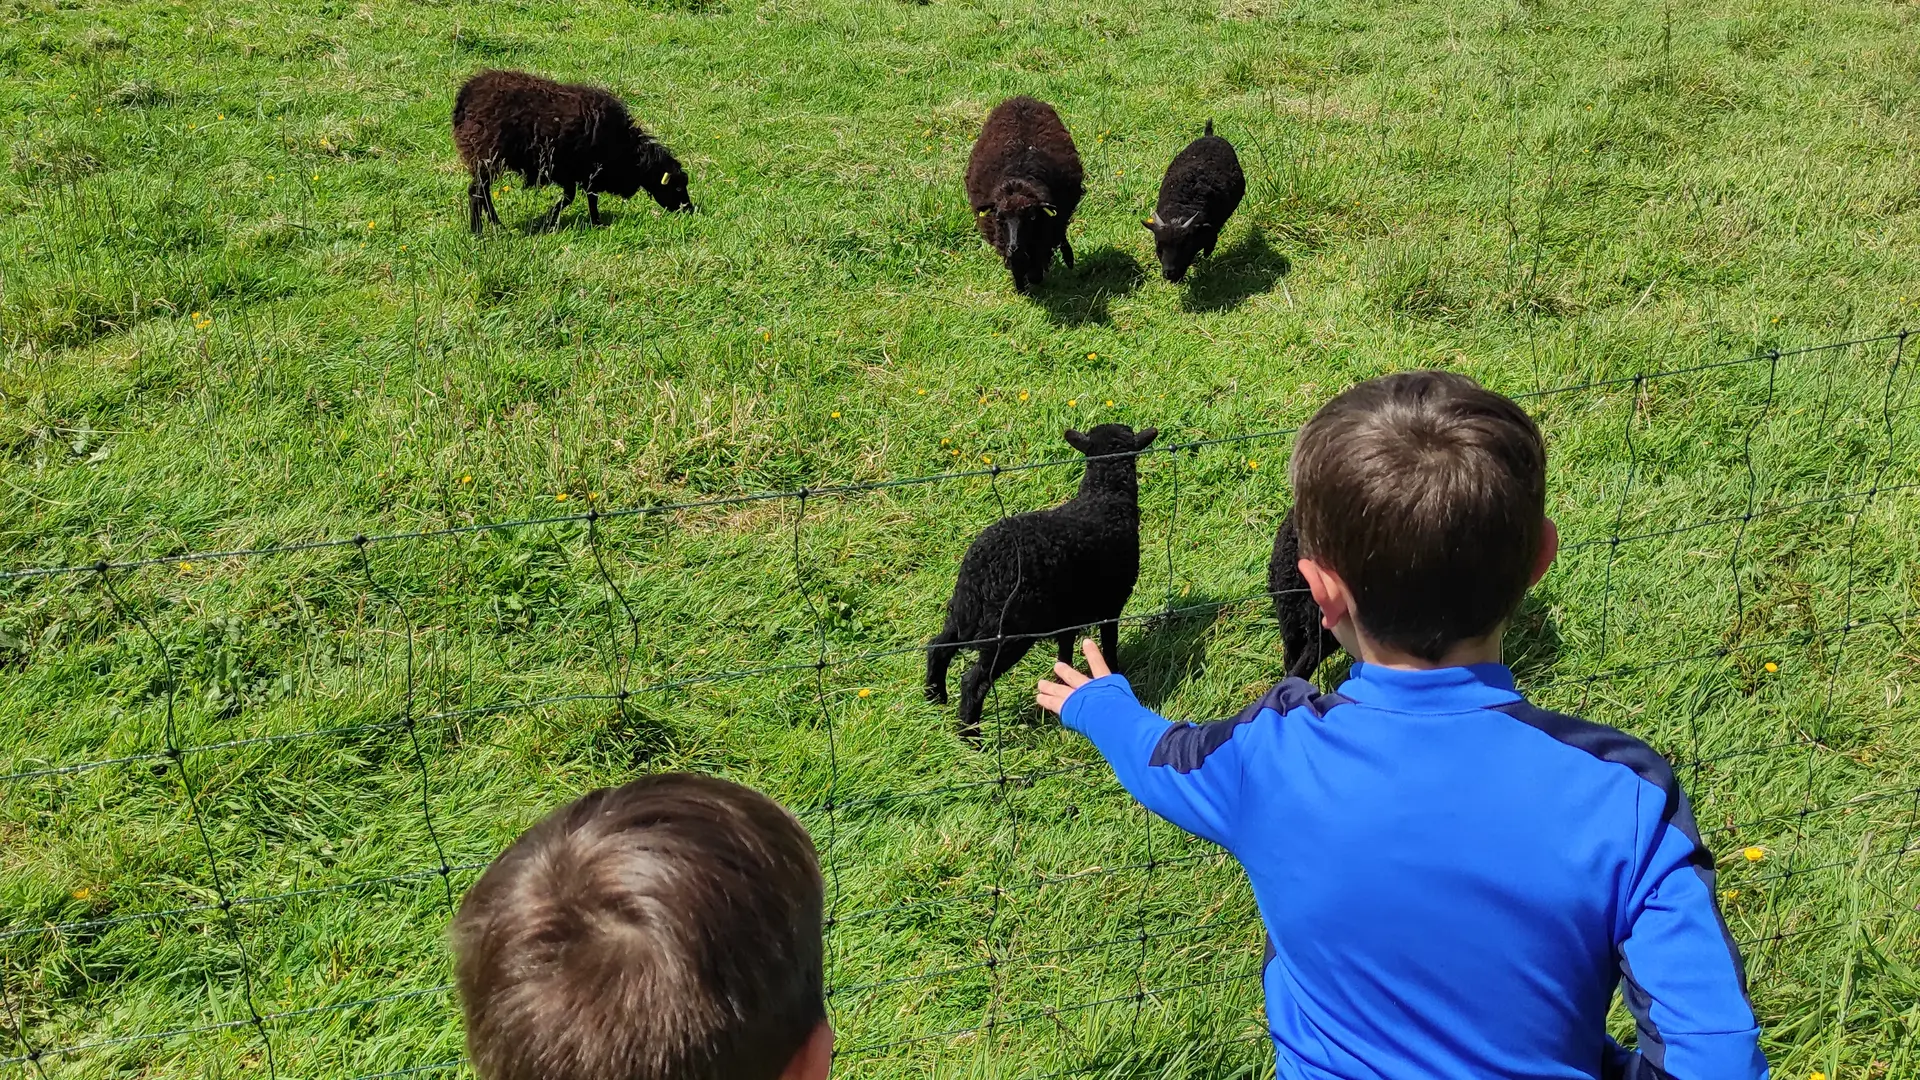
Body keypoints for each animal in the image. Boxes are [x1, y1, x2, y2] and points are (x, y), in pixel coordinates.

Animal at [452, 69, 693, 234]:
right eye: (677, 187)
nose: (690, 210)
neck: (627, 151)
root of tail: (466, 95)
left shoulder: (579, 173)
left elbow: (580, 197)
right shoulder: (582, 170)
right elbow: (580, 197)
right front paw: (554, 219)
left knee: (483, 192)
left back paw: (497, 224)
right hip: (486, 153)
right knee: (476, 191)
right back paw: (477, 232)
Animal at [927, 424, 1159, 741]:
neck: (1105, 497)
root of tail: (981, 572)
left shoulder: (1068, 616)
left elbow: (1064, 653)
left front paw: (1065, 686)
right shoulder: (1111, 603)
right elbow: (1109, 645)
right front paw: (1113, 674)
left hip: (963, 611)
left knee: (938, 647)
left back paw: (933, 698)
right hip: (1010, 630)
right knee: (973, 681)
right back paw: (971, 737)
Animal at [964, 96, 1085, 293]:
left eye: (1032, 218)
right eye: (1000, 218)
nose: (1015, 248)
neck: (1018, 181)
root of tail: (1021, 98)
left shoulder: (1043, 236)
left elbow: (1036, 269)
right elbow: (1018, 269)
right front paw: (1020, 287)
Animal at [1144, 120, 1245, 283]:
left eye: (1185, 246)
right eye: (1159, 247)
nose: (1170, 274)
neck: (1181, 206)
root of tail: (1209, 135)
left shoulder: (1212, 228)